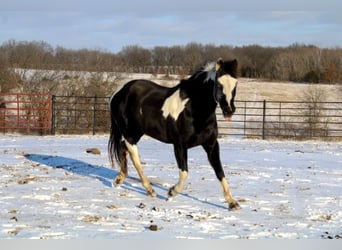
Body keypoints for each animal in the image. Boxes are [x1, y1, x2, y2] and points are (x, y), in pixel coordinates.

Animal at [107, 57, 240, 210]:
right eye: (218, 84)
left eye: (235, 84)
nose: (229, 110)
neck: (194, 109)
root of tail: (119, 92)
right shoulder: (180, 145)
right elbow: (184, 172)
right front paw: (171, 193)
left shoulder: (211, 145)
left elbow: (220, 172)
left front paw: (232, 203)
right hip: (130, 134)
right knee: (135, 158)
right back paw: (150, 190)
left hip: (136, 133)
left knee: (123, 148)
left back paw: (119, 180)